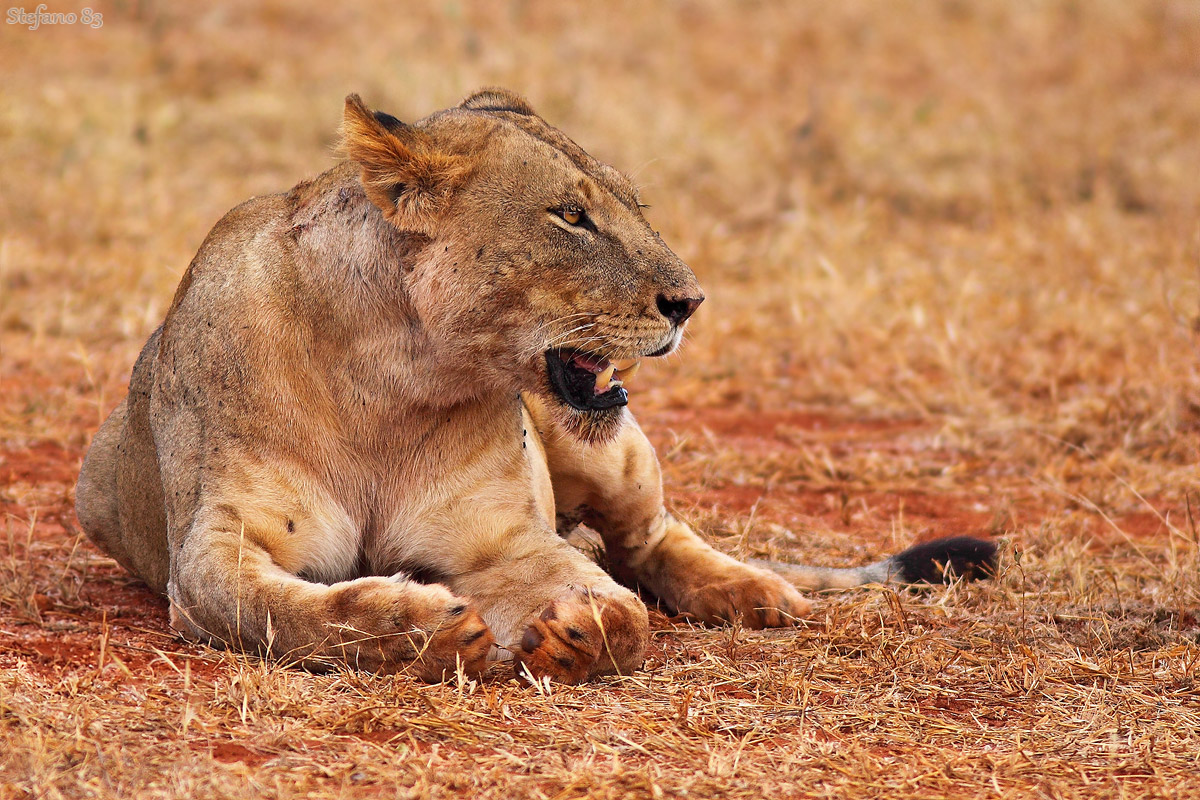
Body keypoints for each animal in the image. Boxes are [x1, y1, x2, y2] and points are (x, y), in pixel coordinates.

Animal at [74, 89, 995, 684]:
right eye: (571, 216)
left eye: (631, 205)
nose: (691, 302)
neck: (391, 382)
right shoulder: (215, 549)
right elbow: (288, 611)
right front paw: (418, 626)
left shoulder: (504, 542)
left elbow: (617, 604)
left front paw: (585, 631)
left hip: (609, 455)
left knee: (651, 541)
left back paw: (757, 593)